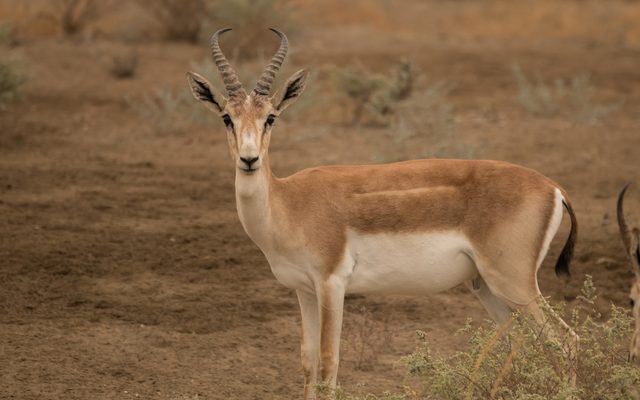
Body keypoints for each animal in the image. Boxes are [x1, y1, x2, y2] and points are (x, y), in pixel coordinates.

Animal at [187, 28, 579, 399]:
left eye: (270, 117)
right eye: (226, 117)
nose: (249, 159)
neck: (289, 203)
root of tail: (553, 187)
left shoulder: (332, 284)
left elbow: (329, 362)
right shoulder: (304, 290)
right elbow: (308, 361)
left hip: (514, 284)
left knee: (565, 341)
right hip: (487, 286)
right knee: (527, 344)